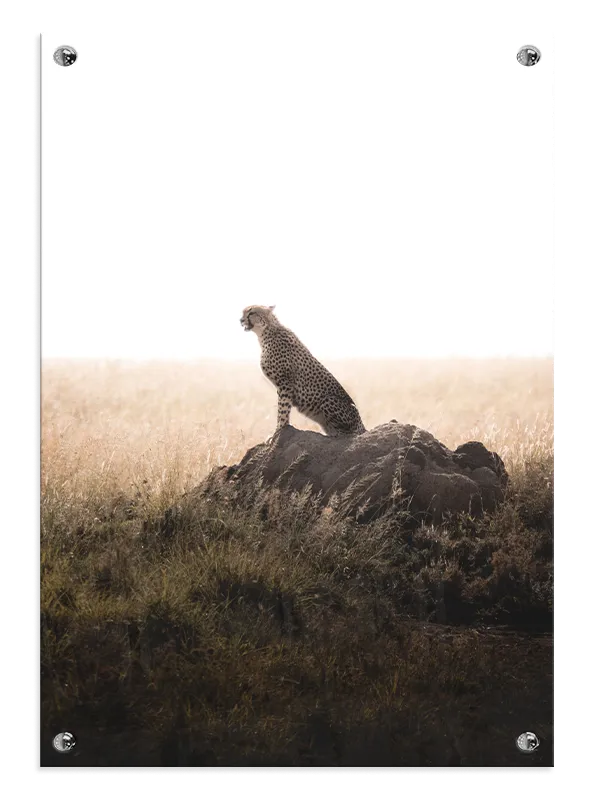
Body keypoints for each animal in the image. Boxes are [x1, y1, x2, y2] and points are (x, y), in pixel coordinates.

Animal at [240, 305, 366, 437]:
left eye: (251, 313)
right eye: (243, 312)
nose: (241, 320)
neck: (265, 332)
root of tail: (362, 426)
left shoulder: (285, 382)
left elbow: (283, 408)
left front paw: (279, 429)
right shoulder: (282, 385)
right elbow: (282, 407)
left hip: (329, 400)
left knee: (349, 433)